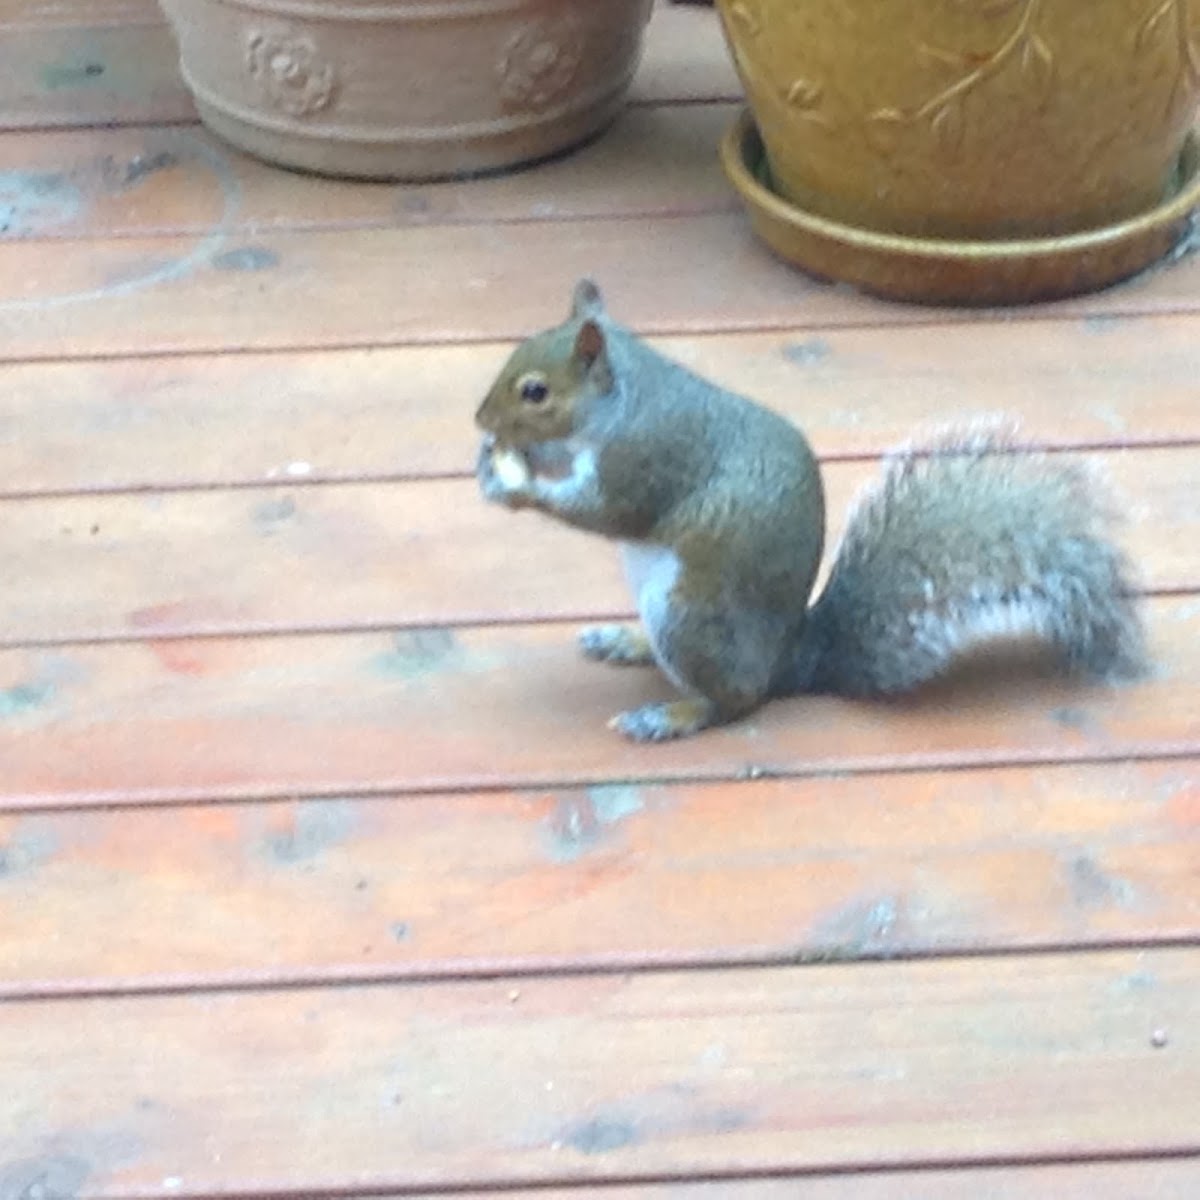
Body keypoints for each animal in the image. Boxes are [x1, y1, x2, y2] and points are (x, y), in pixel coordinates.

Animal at [472, 278, 1147, 739]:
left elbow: (606, 510)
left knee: (735, 701)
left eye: (535, 391)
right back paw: (626, 641)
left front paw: (515, 486)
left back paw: (673, 714)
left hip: (691, 615)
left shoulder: (647, 459)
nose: (479, 420)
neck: (622, 403)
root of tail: (791, 664)